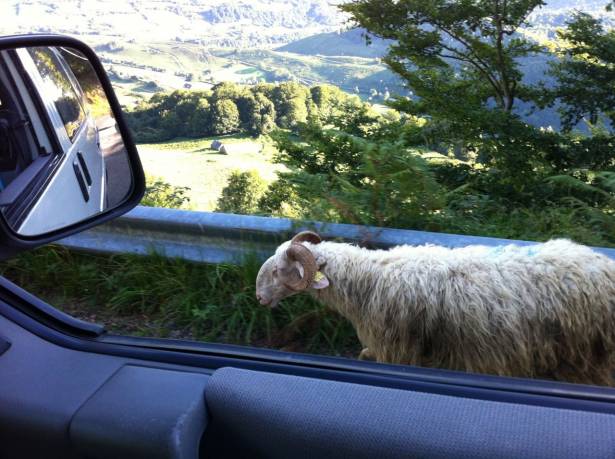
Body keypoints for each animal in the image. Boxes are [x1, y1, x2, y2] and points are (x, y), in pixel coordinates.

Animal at [256, 232, 615, 386]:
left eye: (280, 270)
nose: (259, 298)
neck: (370, 279)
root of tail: (604, 265)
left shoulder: (399, 351)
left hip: (587, 359)